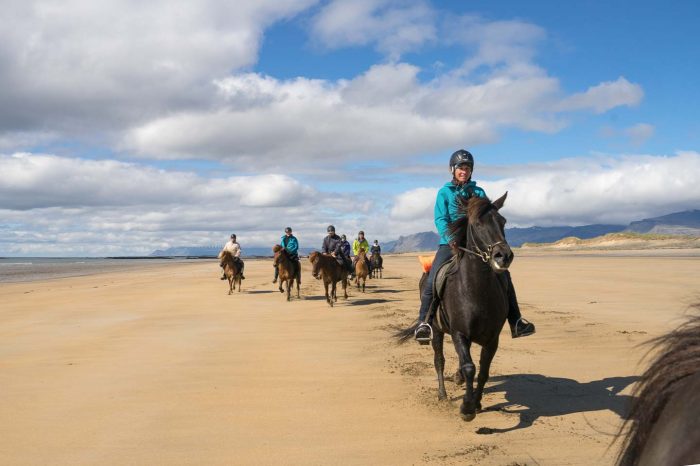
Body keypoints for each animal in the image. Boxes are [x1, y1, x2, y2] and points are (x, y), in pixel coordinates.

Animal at [396, 193, 512, 422]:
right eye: (477, 224)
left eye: (503, 222)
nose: (503, 256)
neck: (477, 291)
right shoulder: (459, 333)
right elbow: (469, 367)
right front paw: (467, 408)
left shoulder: (492, 339)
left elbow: (483, 370)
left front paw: (477, 402)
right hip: (437, 330)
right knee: (439, 360)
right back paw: (442, 394)